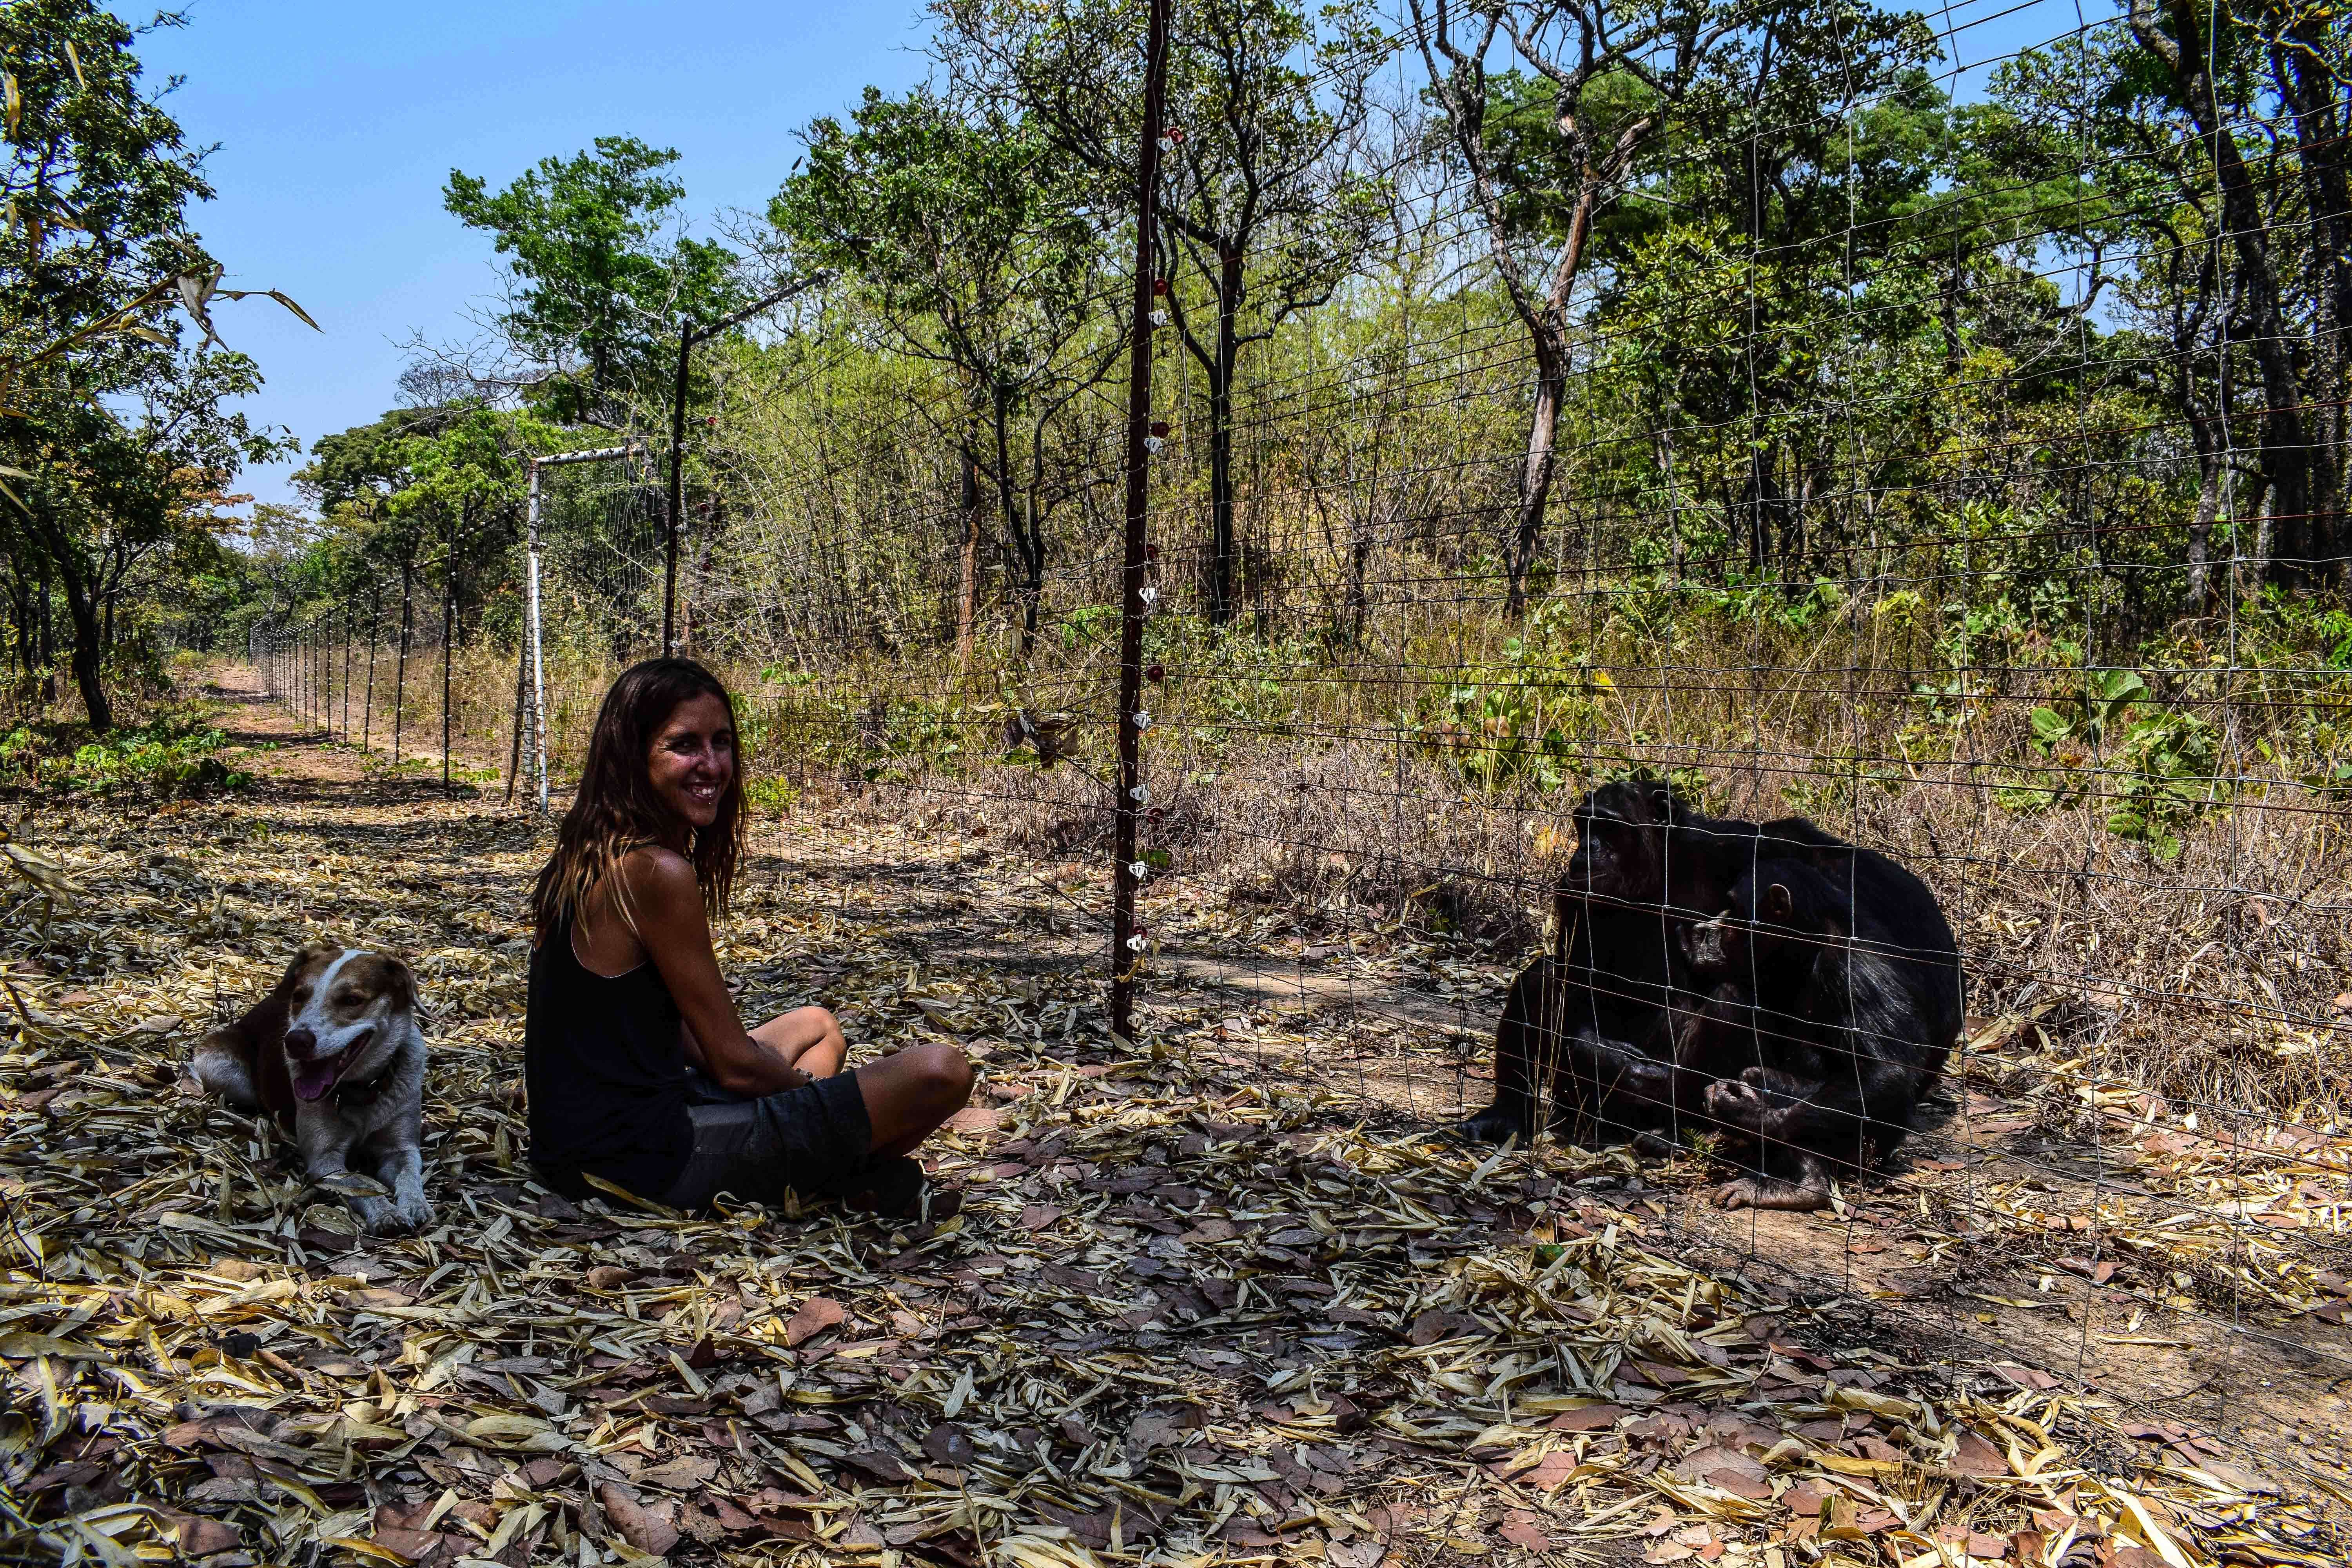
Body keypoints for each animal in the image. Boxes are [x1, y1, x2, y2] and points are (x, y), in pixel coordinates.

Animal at [192, 945, 433, 1241]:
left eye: (352, 1000)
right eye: (299, 997)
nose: (296, 1041)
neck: (361, 1091)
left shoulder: (401, 1146)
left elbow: (409, 1174)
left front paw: (415, 1205)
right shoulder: (324, 1159)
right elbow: (359, 1182)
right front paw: (387, 1214)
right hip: (221, 1070)